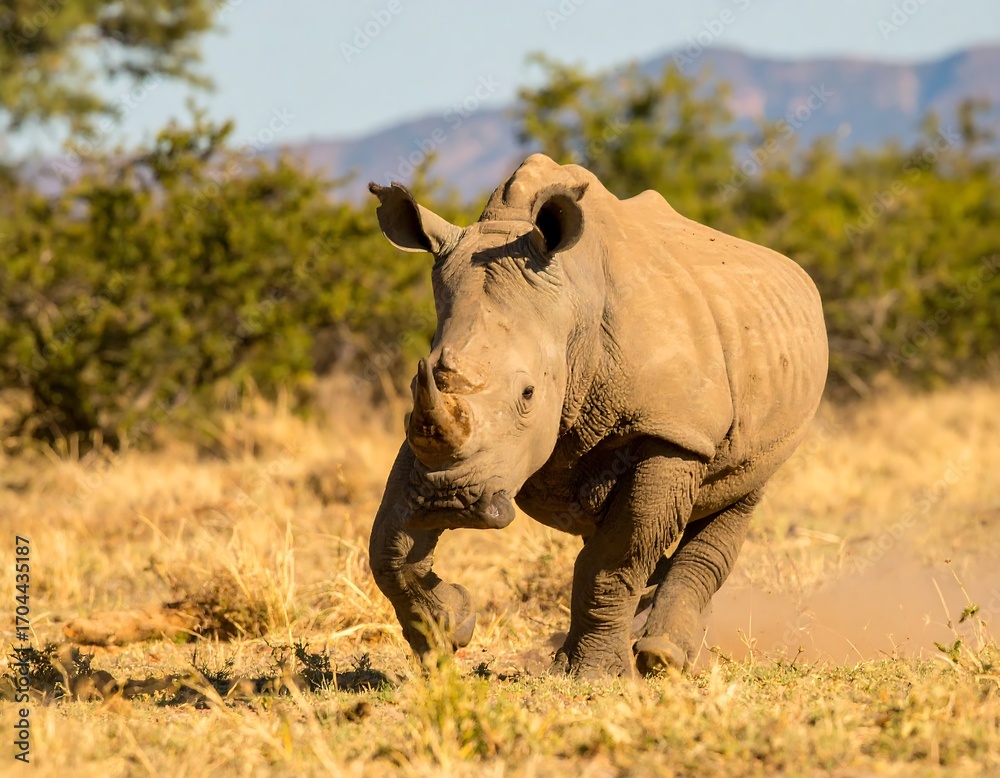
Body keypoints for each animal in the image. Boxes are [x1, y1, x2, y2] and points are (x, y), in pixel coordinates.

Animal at [367, 154, 828, 678]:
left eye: (528, 394)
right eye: (417, 380)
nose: (448, 501)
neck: (574, 308)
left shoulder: (673, 431)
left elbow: (619, 556)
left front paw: (593, 674)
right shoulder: (427, 440)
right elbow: (386, 543)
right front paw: (449, 633)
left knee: (738, 495)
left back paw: (663, 658)